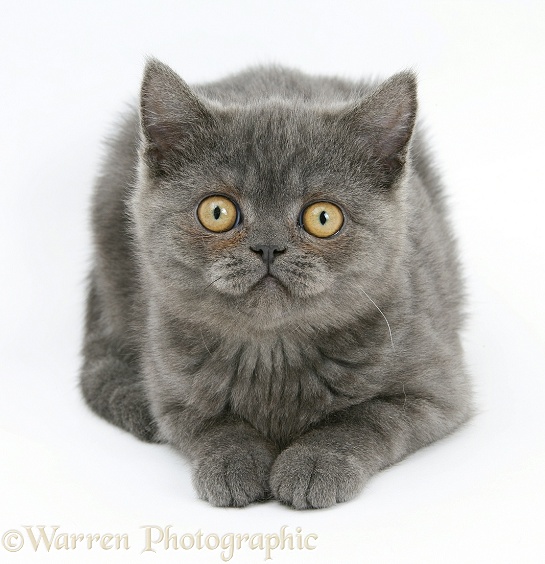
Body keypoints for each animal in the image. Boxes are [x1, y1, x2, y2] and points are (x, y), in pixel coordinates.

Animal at [81, 59, 472, 508]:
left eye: (323, 217)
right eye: (217, 211)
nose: (268, 247)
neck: (272, 354)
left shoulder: (437, 390)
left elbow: (364, 419)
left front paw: (315, 463)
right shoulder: (172, 388)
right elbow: (213, 425)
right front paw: (233, 462)